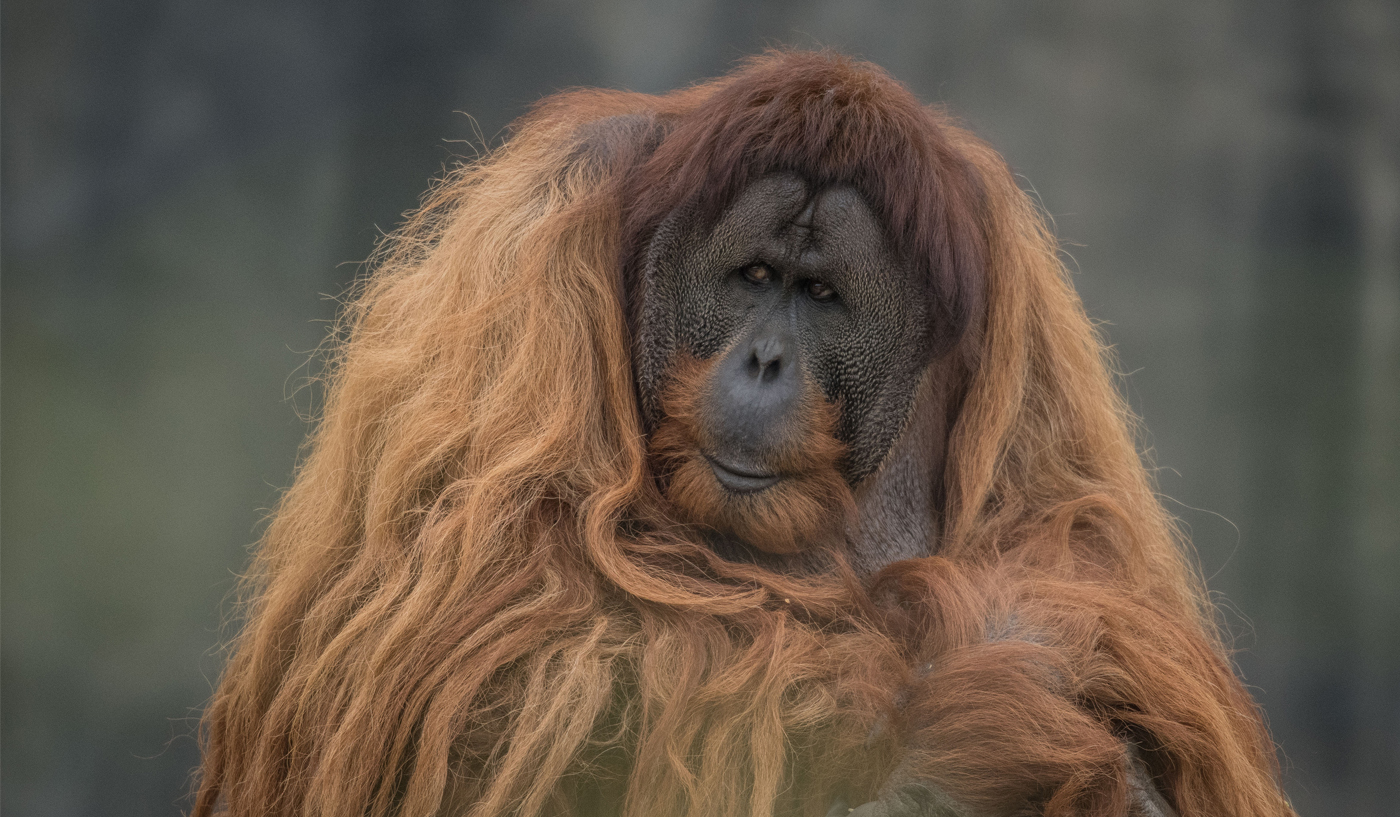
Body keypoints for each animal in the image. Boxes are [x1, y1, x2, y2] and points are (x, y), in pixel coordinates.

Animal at [195, 51, 1294, 817]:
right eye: (754, 277)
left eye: (820, 295)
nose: (764, 360)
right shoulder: (532, 242)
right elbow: (487, 621)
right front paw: (987, 698)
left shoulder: (1021, 316)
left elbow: (1077, 545)